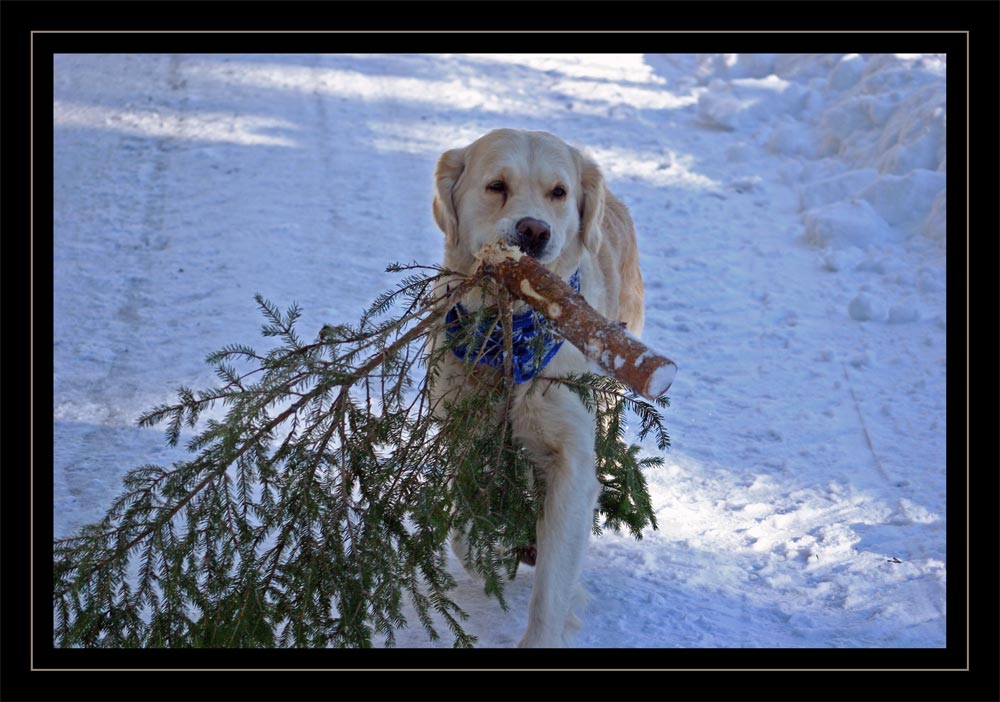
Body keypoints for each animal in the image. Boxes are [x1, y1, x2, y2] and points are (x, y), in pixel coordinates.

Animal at [426, 128, 644, 648]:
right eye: (496, 186)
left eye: (558, 193)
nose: (534, 231)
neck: (506, 346)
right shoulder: (460, 428)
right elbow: (465, 516)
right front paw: (489, 550)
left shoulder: (572, 457)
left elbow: (554, 579)